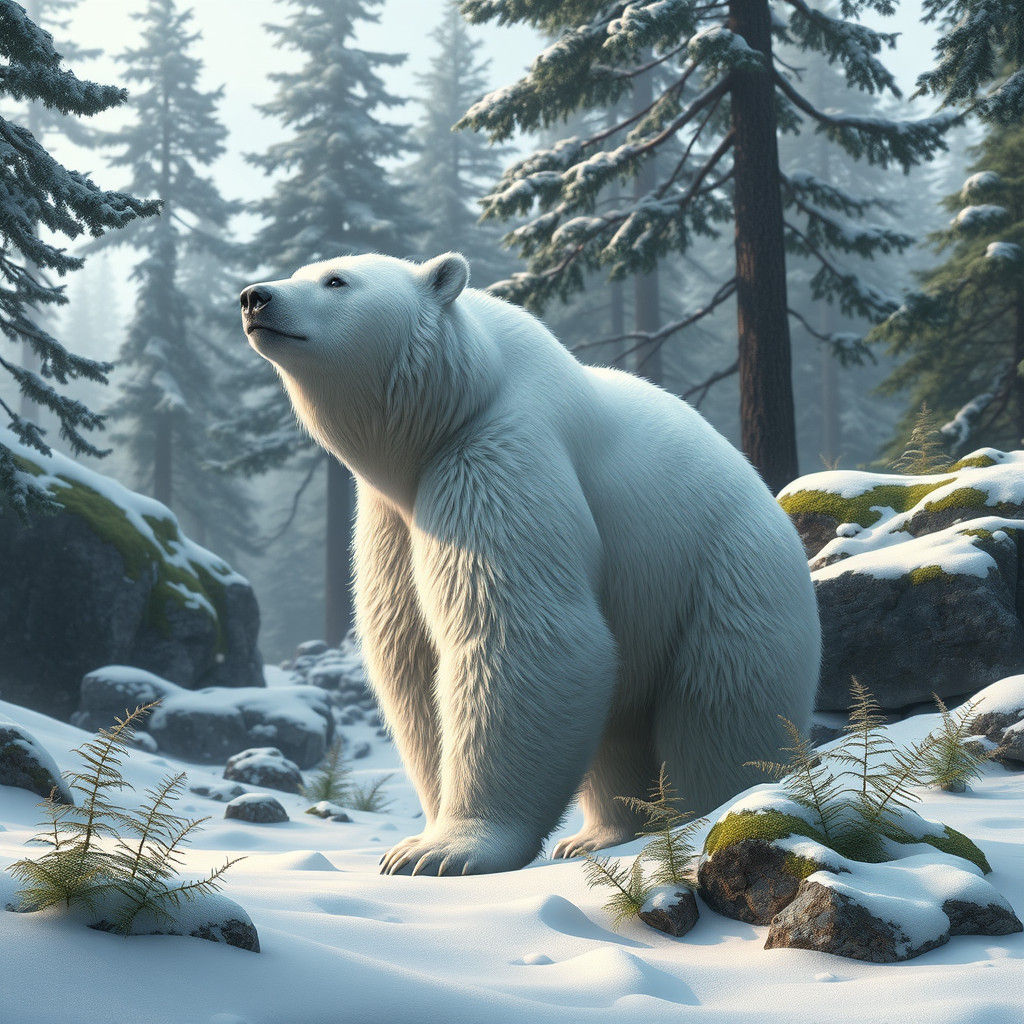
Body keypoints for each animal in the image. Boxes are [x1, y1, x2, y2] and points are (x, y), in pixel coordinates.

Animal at [240, 252, 821, 877]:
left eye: (336, 280)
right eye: (302, 271)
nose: (255, 297)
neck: (466, 390)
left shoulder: (497, 456)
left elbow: (521, 638)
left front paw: (444, 850)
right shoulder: (394, 514)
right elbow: (412, 656)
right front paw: (419, 837)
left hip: (729, 574)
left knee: (722, 707)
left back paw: (703, 813)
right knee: (620, 727)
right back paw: (599, 835)